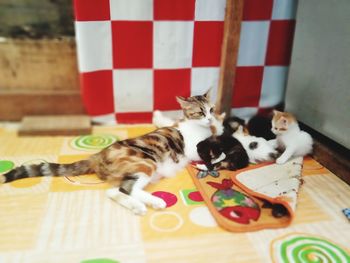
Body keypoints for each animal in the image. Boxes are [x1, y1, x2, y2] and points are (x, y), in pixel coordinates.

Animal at [0, 91, 216, 217]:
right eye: (200, 112)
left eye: (211, 109)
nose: (210, 118)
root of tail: (97, 156)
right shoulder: (192, 147)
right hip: (146, 163)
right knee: (123, 189)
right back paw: (151, 203)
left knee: (114, 191)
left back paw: (140, 205)